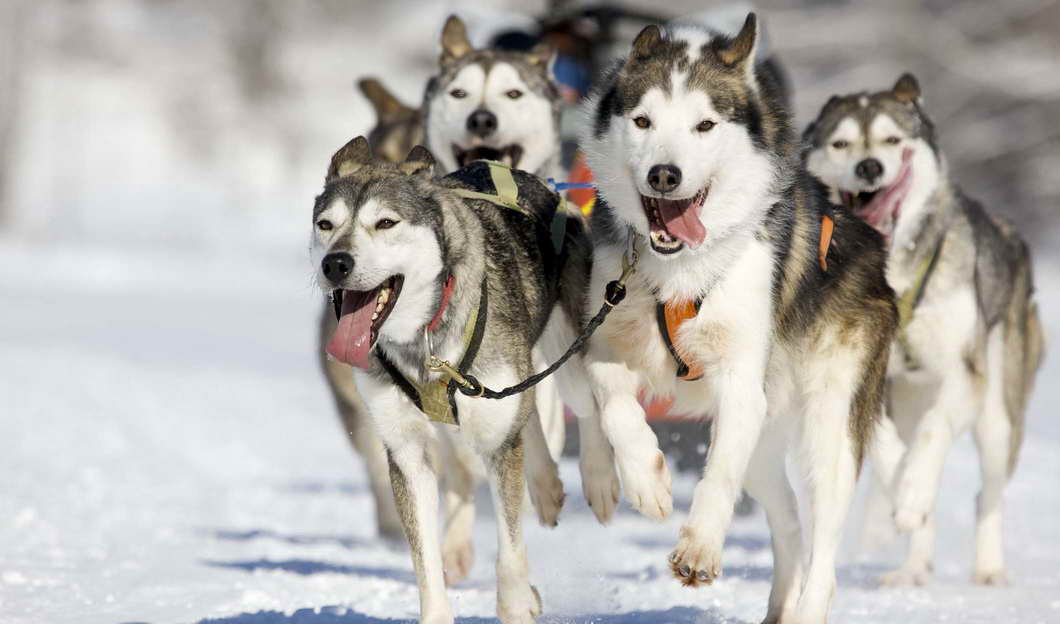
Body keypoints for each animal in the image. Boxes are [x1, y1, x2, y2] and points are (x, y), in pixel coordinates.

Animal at [313, 137, 597, 622]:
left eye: (385, 223)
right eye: (325, 224)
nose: (336, 263)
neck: (424, 342)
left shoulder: (497, 441)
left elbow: (510, 549)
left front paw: (516, 604)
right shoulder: (408, 453)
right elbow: (425, 561)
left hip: (570, 352)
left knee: (592, 405)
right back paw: (546, 486)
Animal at [576, 13, 898, 618]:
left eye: (705, 125)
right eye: (642, 120)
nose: (664, 174)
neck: (680, 271)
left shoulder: (741, 383)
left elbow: (718, 475)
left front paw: (699, 546)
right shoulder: (606, 336)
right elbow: (614, 405)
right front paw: (646, 479)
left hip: (828, 424)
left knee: (822, 539)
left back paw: (809, 607)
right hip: (765, 441)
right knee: (790, 522)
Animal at [801, 75, 1043, 584]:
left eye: (893, 140)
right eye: (840, 143)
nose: (869, 167)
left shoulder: (964, 375)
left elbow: (933, 434)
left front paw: (910, 493)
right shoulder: (867, 374)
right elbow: (886, 444)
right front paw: (901, 492)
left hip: (999, 416)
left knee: (986, 493)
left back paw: (988, 568)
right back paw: (912, 567)